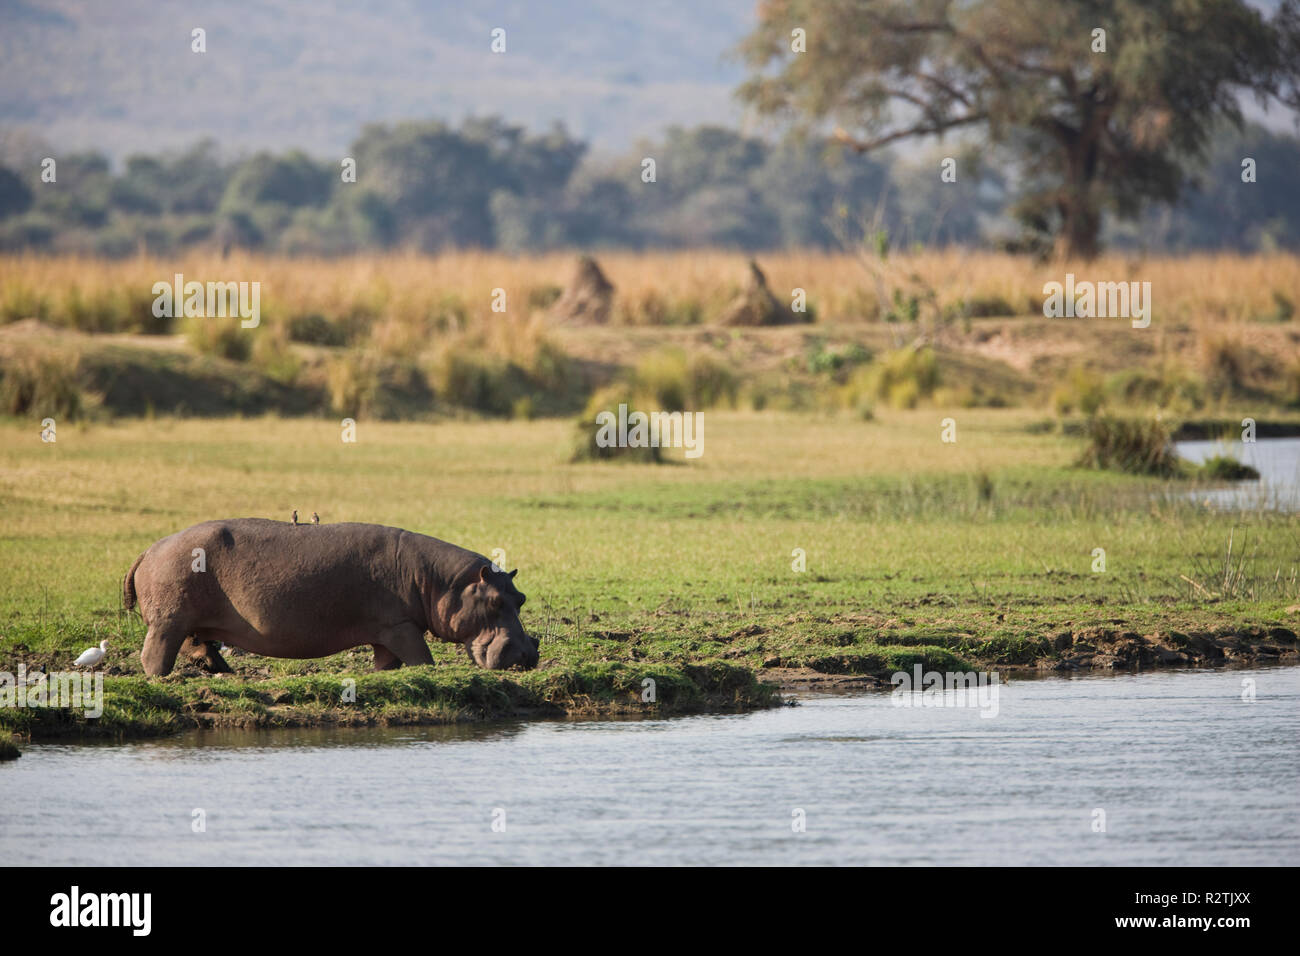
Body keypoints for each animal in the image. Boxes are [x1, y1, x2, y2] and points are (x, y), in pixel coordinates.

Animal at [122, 519, 538, 676]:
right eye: (495, 602)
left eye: (520, 598)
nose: (526, 653)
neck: (441, 581)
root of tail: (148, 549)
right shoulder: (401, 626)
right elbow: (423, 659)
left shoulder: (386, 632)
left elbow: (387, 664)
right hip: (168, 620)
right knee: (155, 654)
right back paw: (164, 676)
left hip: (187, 620)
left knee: (197, 643)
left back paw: (222, 669)